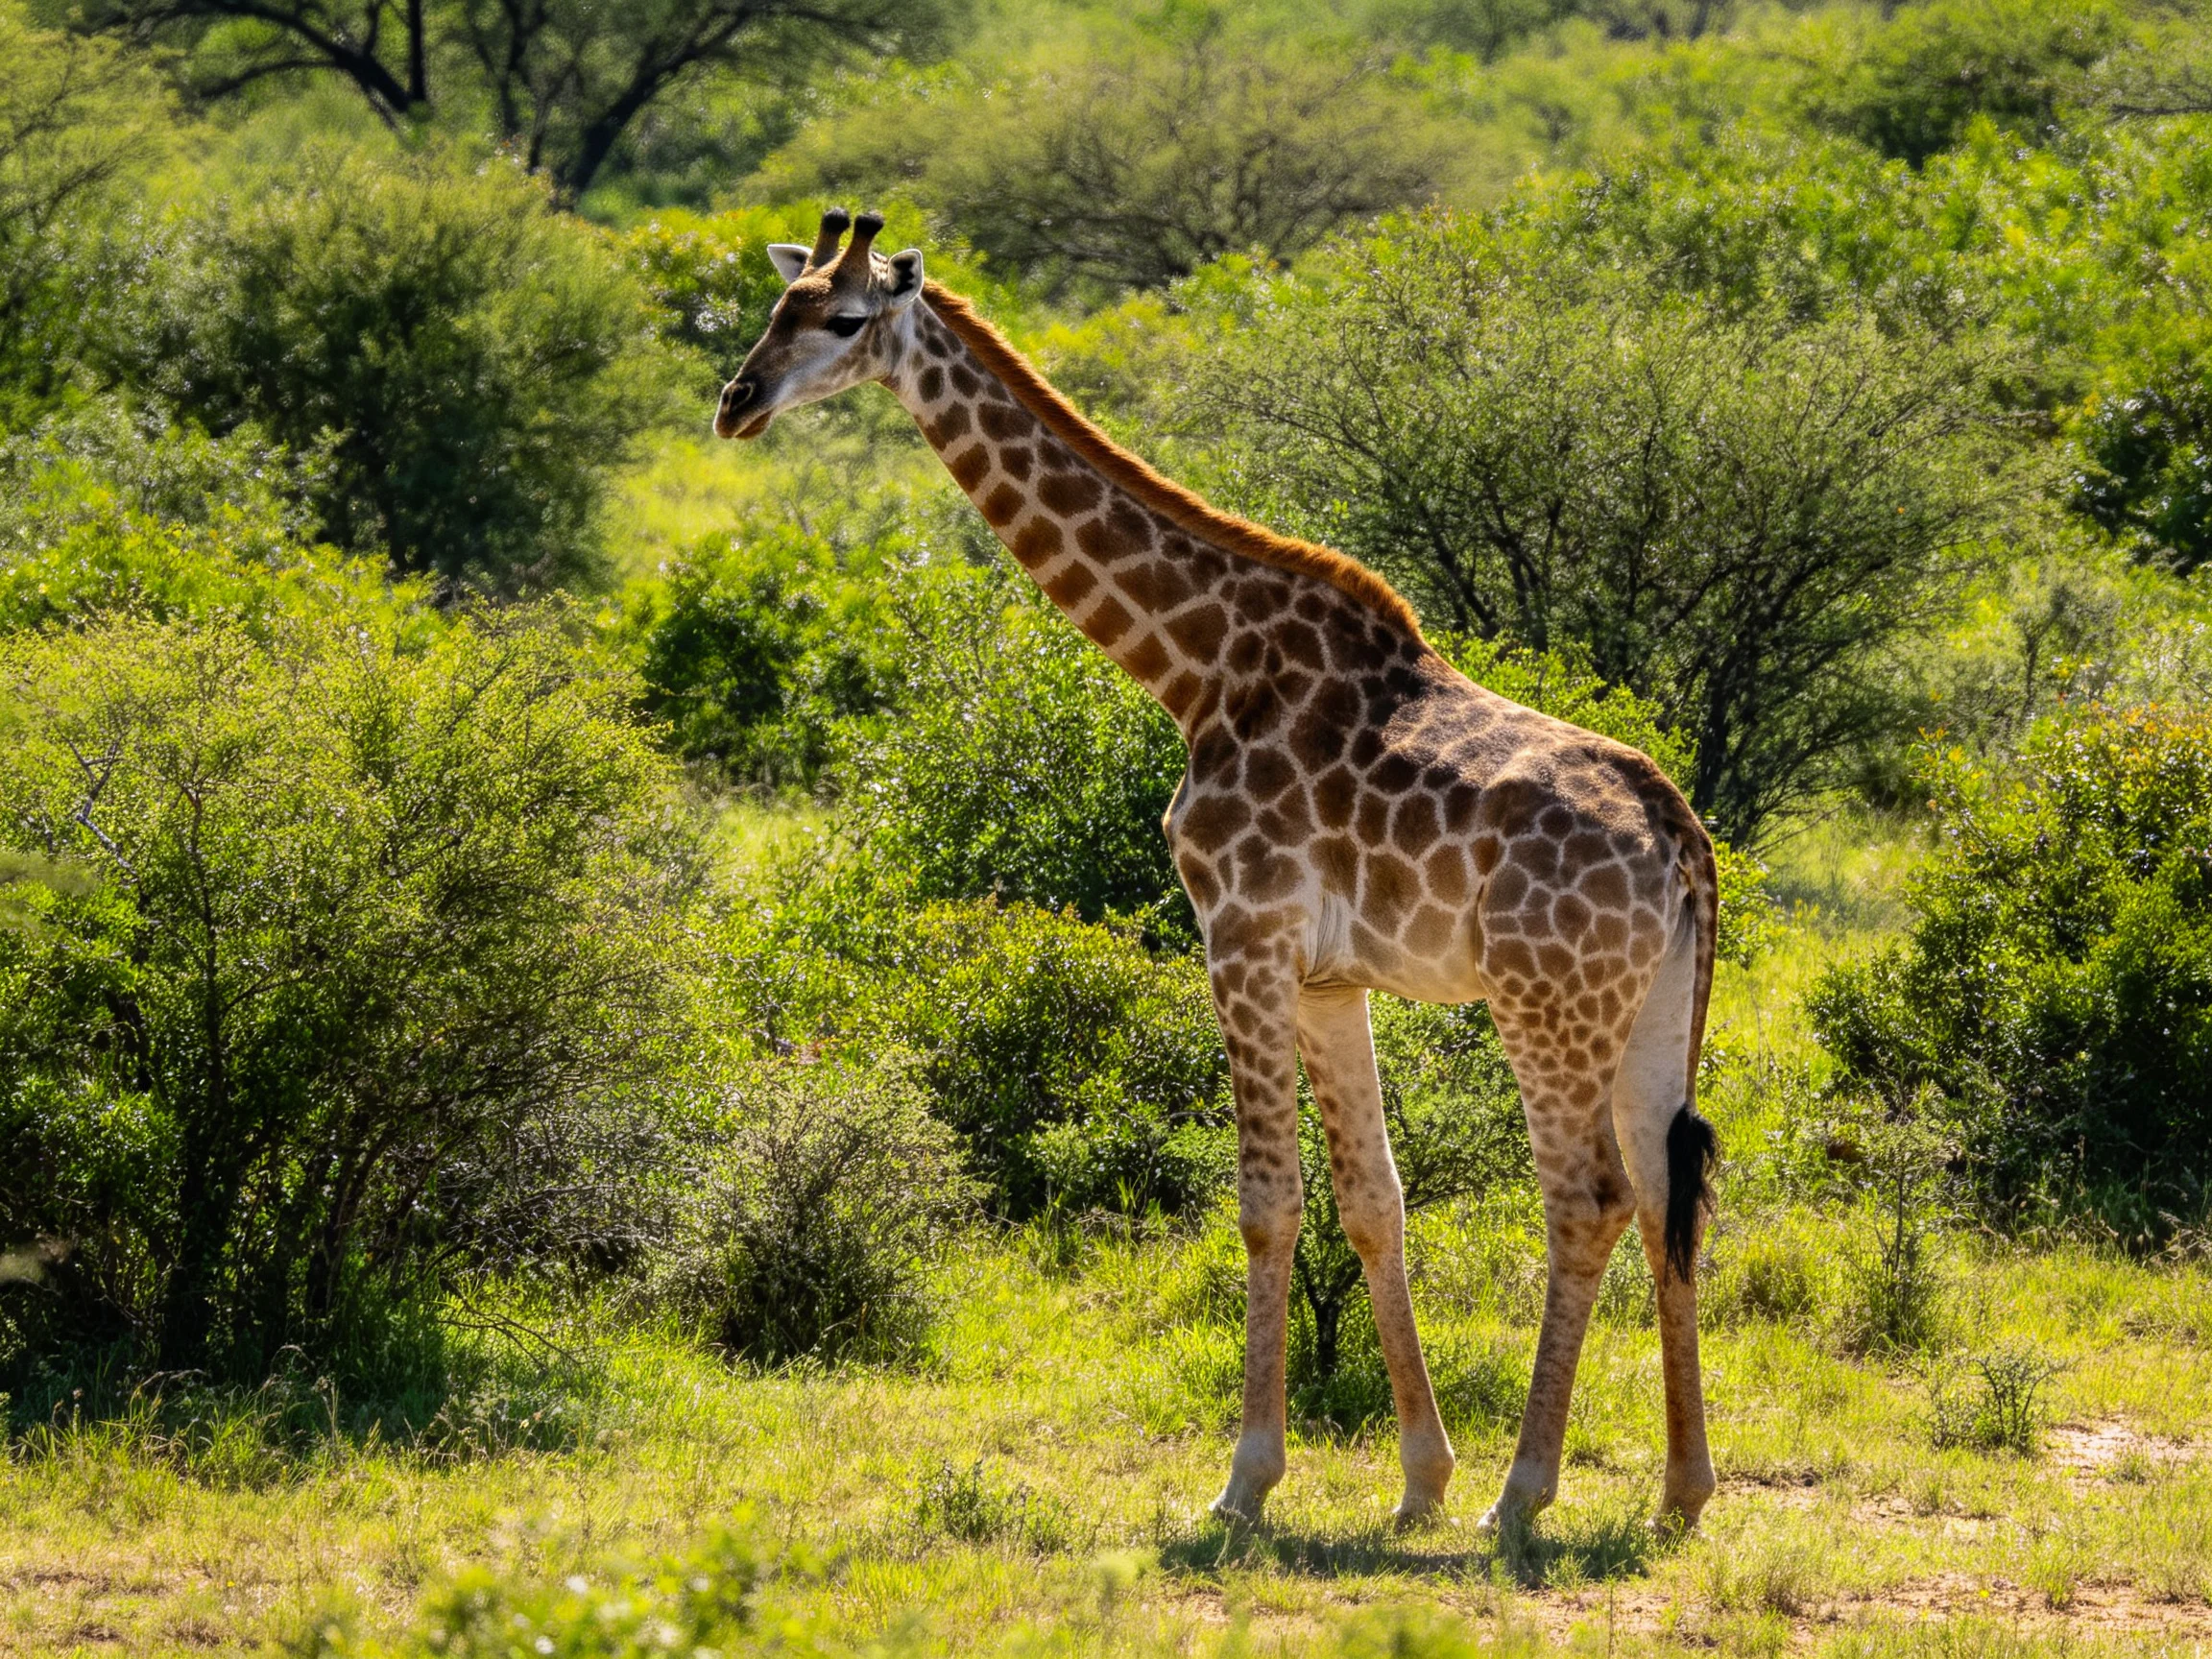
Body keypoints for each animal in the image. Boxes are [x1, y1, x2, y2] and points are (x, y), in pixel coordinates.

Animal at [716, 209, 1722, 1532]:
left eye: (839, 321)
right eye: (771, 311)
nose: (735, 404)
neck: (1196, 669)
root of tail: (1682, 837)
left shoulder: (1240, 934)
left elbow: (1265, 1205)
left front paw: (1245, 1482)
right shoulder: (1329, 978)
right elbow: (1372, 1203)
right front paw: (1417, 1480)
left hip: (1544, 1002)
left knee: (1587, 1199)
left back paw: (1525, 1496)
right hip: (1652, 1009)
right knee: (1667, 1196)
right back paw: (1680, 1494)